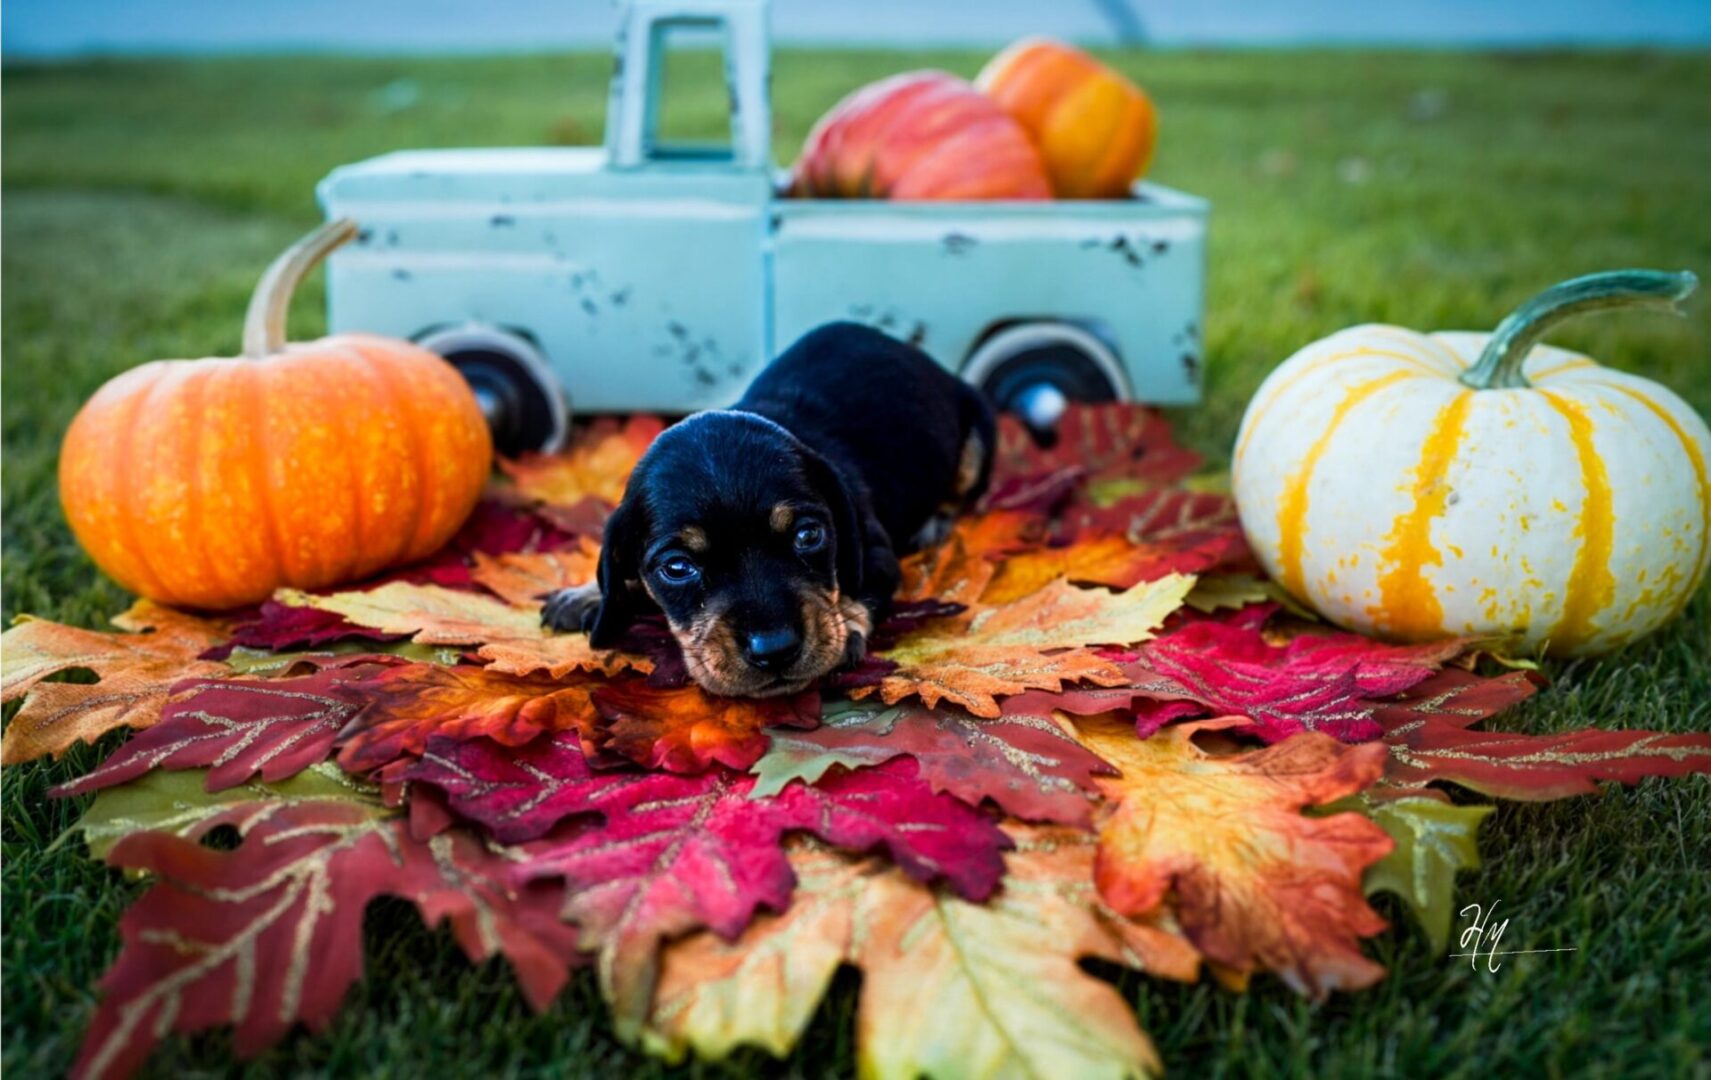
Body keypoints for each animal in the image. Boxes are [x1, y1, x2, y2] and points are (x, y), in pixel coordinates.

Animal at [540, 321, 999, 698]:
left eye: (808, 535)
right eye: (677, 567)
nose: (775, 650)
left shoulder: (877, 554)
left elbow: (857, 589)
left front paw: (844, 627)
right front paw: (587, 593)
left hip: (977, 437)